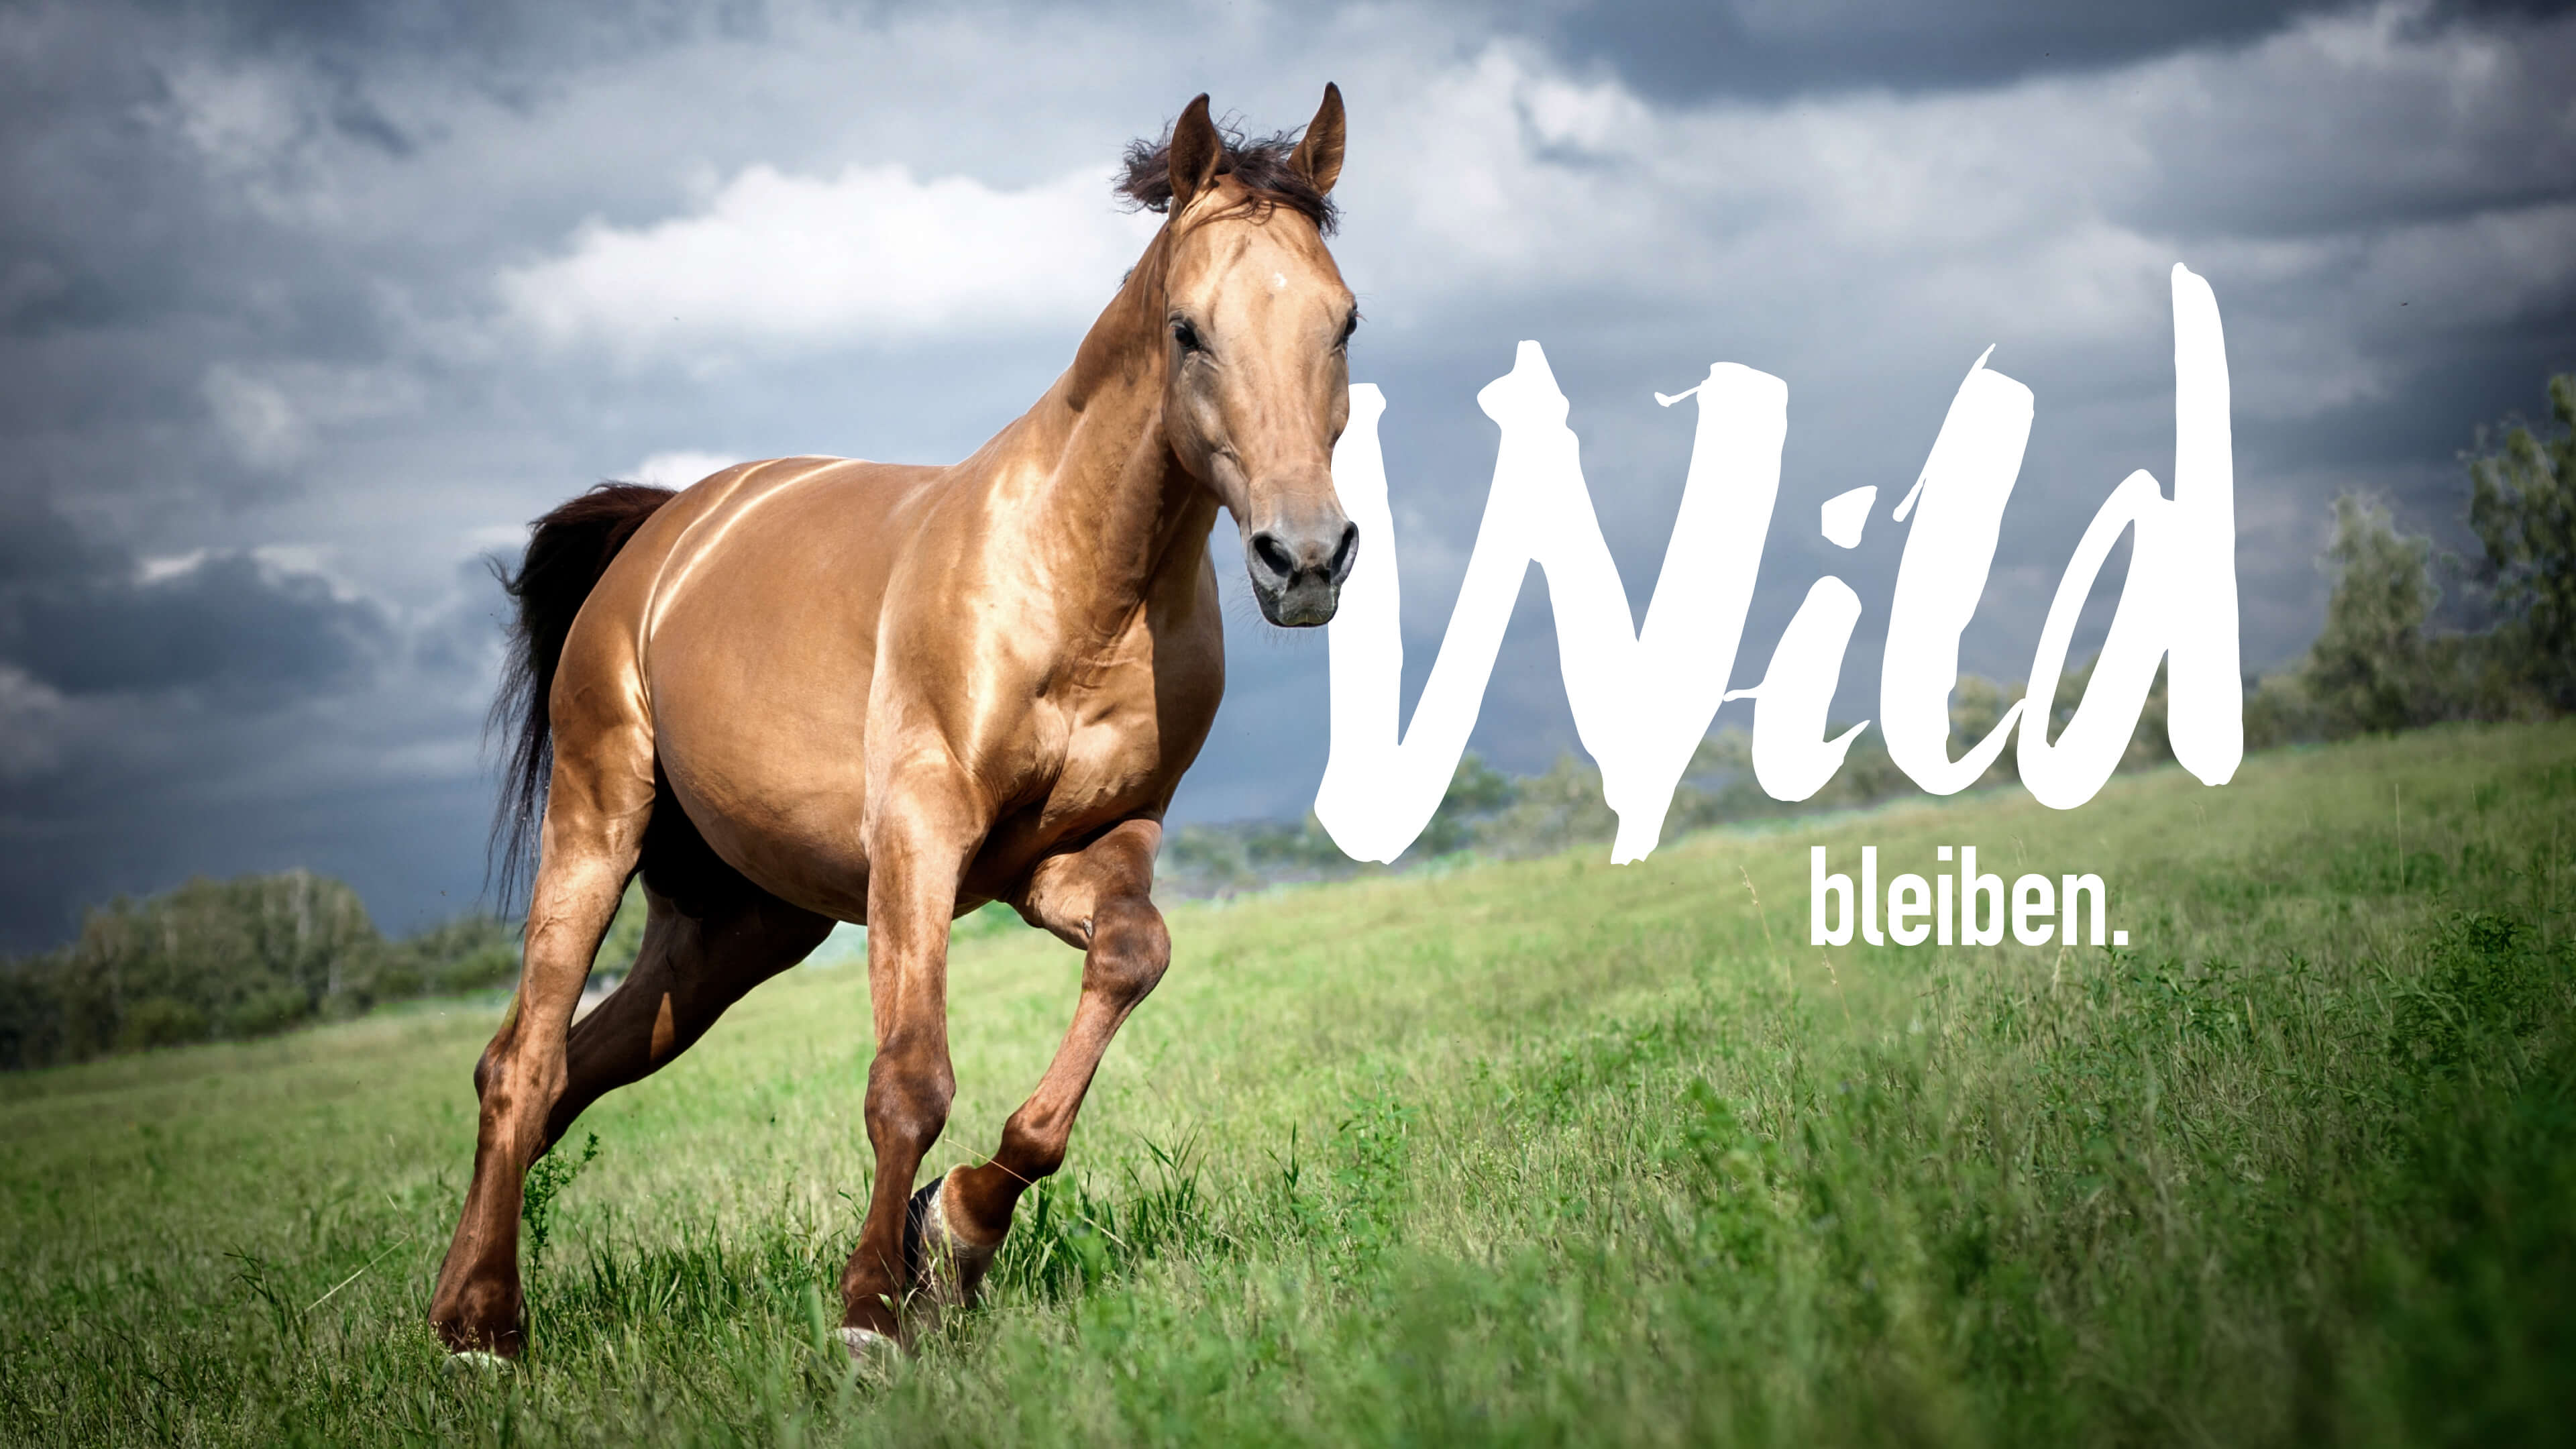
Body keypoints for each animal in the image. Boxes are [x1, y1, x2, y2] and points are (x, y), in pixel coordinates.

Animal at [428, 87, 1361, 1362]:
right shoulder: (920, 836)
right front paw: (873, 1309)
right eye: (1188, 330)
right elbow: (908, 1079)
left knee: (565, 1068)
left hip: (731, 933)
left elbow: (1133, 957)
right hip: (596, 817)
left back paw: (452, 1302)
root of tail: (664, 531)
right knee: (521, 1059)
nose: (1304, 560)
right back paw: (482, 1329)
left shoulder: (1081, 856)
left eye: (1344, 323)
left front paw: (954, 1234)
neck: (1078, 581)